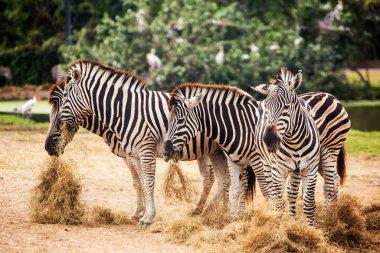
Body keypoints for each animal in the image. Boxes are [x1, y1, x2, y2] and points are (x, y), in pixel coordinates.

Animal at [43, 60, 240, 225]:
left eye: (57, 115)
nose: (47, 148)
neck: (124, 112)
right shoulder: (132, 153)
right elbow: (141, 183)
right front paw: (142, 213)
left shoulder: (144, 151)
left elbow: (146, 182)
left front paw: (146, 216)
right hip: (214, 151)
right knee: (220, 179)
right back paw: (211, 212)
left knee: (222, 179)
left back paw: (213, 212)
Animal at [163, 83, 270, 219]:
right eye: (168, 119)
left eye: (180, 120)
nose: (166, 151)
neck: (239, 125)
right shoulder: (234, 160)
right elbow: (235, 188)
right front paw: (234, 218)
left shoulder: (258, 160)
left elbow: (266, 189)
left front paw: (274, 215)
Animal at [252, 67, 320, 225]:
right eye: (266, 108)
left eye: (286, 107)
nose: (269, 140)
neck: (294, 142)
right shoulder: (278, 170)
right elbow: (279, 205)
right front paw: (278, 227)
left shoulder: (310, 169)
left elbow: (308, 203)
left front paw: (309, 228)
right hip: (266, 165)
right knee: (272, 193)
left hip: (296, 170)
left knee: (292, 193)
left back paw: (293, 217)